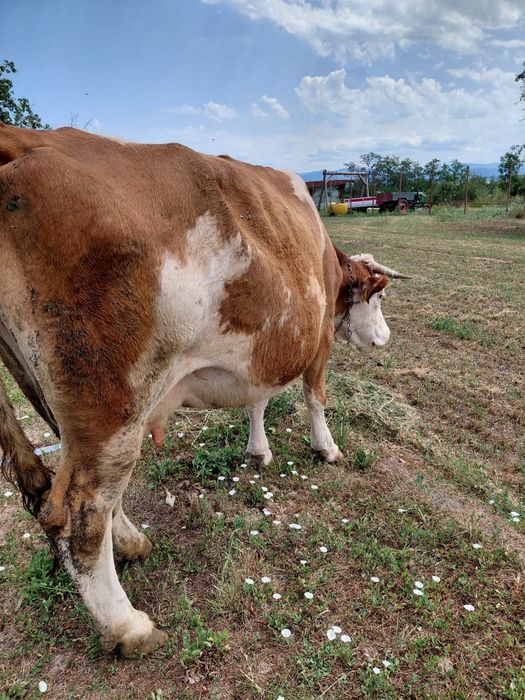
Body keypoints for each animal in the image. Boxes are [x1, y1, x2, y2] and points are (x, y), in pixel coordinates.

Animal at [0, 124, 408, 656]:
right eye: (377, 299)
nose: (384, 338)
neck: (325, 257)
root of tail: (31, 138)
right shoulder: (317, 339)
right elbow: (315, 398)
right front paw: (327, 448)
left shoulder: (263, 350)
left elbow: (258, 399)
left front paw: (259, 449)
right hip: (112, 398)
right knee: (77, 512)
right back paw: (128, 627)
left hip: (62, 401)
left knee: (89, 493)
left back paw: (131, 543)